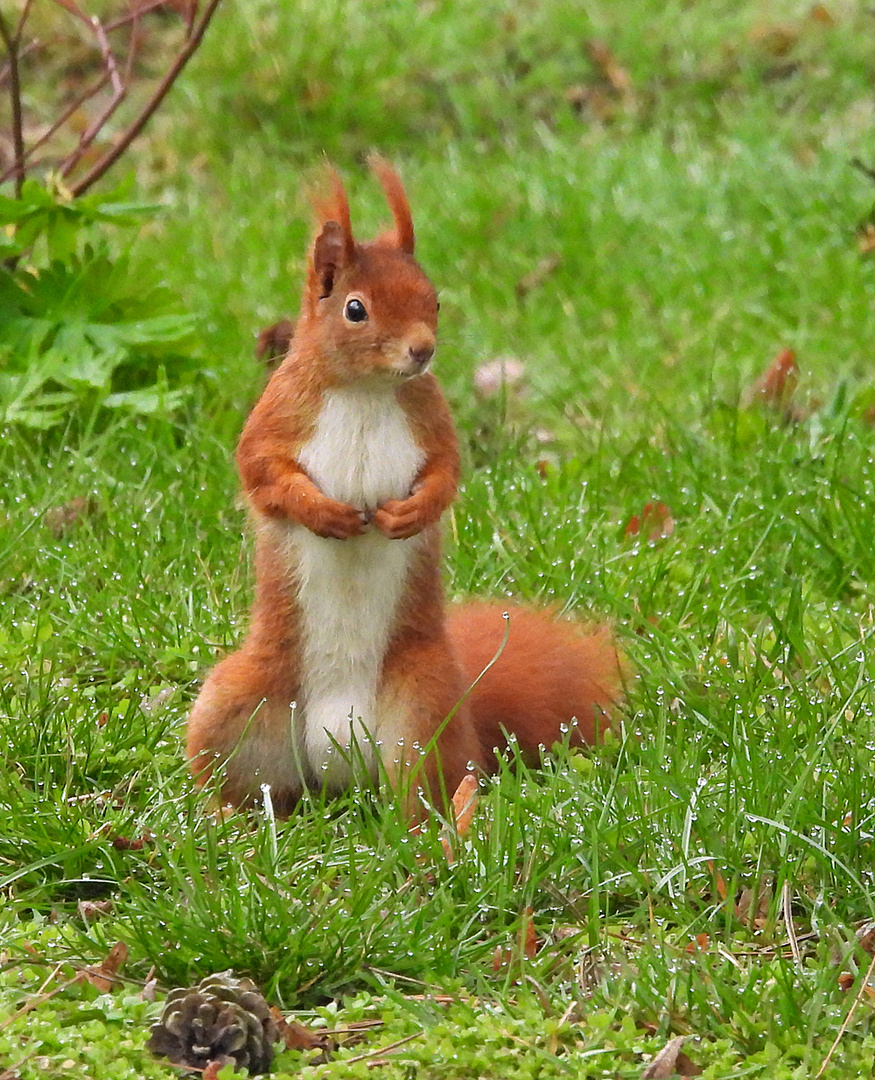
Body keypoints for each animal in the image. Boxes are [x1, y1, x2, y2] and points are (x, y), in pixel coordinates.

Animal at [185, 159, 622, 812]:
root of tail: (339, 765)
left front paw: (410, 515)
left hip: (423, 714)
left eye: (433, 299)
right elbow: (262, 475)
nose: (422, 350)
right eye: (355, 309)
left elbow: (446, 473)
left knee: (429, 787)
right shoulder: (273, 422)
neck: (367, 390)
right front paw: (324, 513)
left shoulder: (433, 422)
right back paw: (233, 818)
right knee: (248, 784)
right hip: (236, 708)